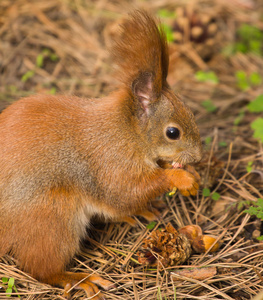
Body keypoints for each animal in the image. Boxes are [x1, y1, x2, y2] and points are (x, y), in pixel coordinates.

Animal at [0, 9, 202, 300]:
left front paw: (184, 179)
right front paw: (181, 179)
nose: (198, 158)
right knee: (40, 268)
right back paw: (78, 279)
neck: (127, 132)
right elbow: (126, 189)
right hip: (52, 217)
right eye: (173, 132)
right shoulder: (111, 160)